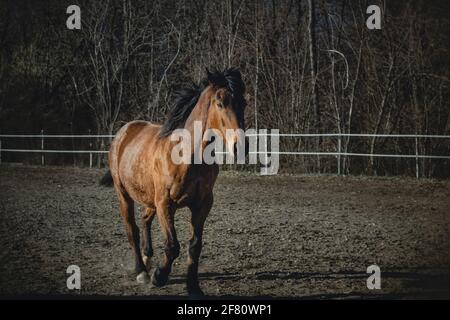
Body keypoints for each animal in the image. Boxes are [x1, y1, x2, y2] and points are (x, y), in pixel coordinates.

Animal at [101, 69, 246, 296]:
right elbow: (172, 245)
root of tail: (124, 131)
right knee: (132, 229)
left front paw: (193, 286)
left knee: (144, 220)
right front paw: (159, 276)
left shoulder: (202, 205)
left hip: (149, 197)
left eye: (244, 103)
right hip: (123, 193)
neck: (187, 156)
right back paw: (141, 271)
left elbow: (195, 246)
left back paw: (147, 258)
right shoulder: (165, 203)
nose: (240, 147)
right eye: (220, 102)